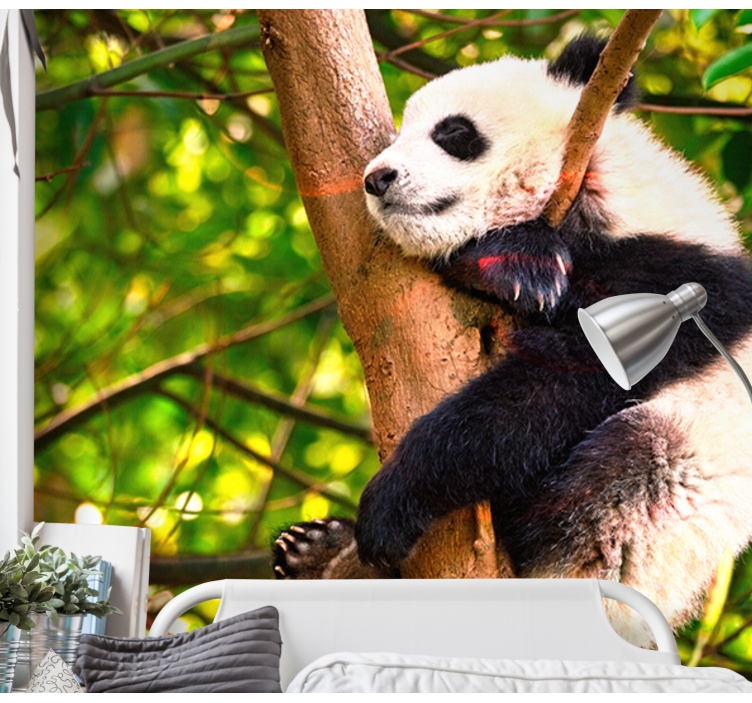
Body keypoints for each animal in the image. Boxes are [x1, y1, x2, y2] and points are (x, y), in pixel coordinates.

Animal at [272, 36, 752, 645]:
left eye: (454, 133)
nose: (376, 178)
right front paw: (508, 266)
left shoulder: (676, 275)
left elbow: (557, 385)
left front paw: (393, 498)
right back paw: (319, 554)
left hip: (667, 510)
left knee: (625, 474)